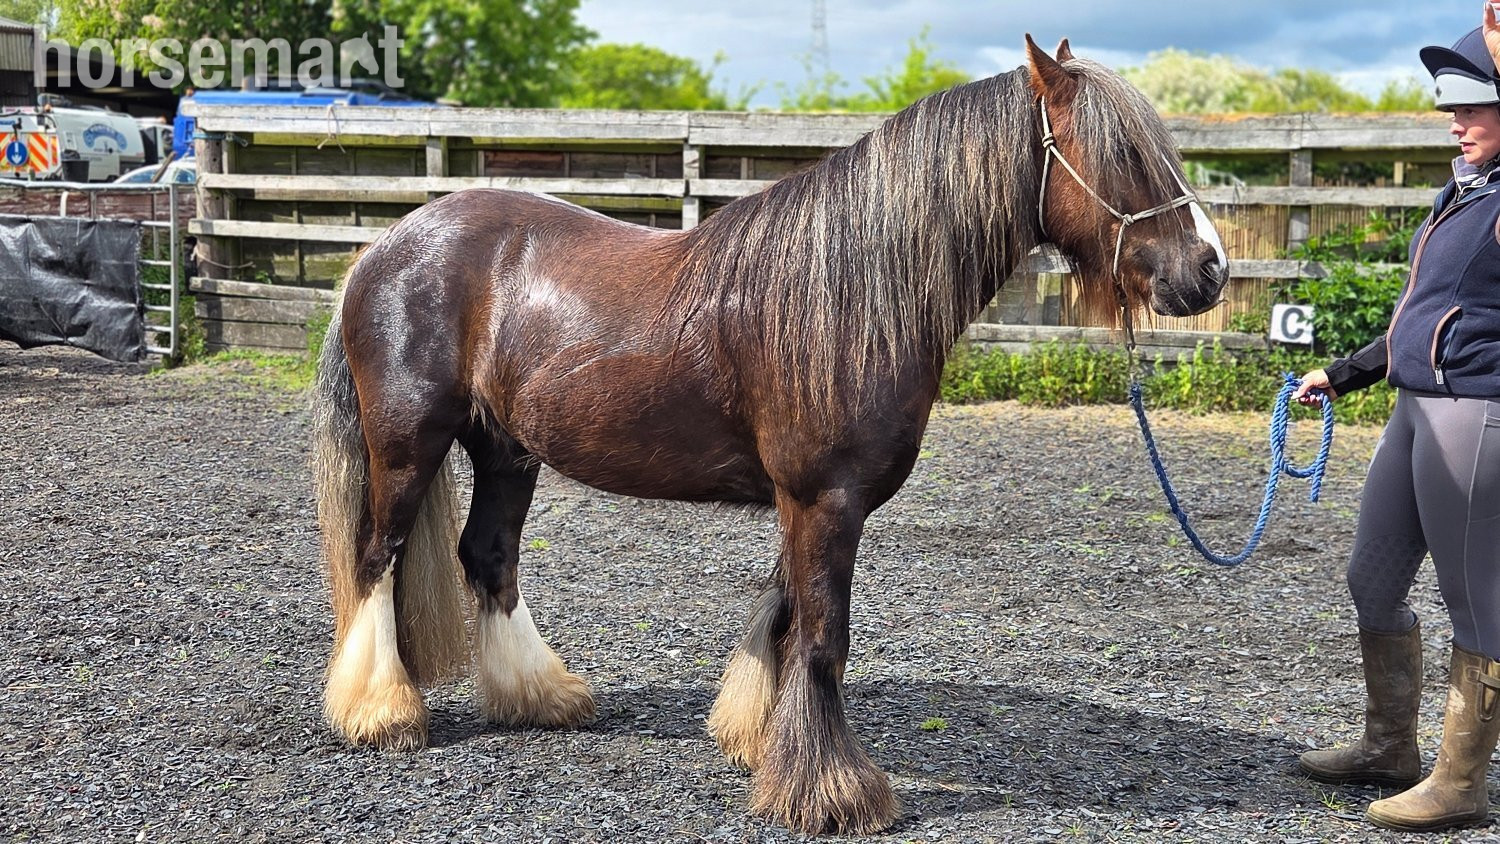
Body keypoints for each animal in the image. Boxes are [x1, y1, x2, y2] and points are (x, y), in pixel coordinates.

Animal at [309, 36, 1229, 835]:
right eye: (1125, 155)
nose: (1209, 270)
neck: (851, 294)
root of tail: (381, 249)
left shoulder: (812, 501)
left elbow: (784, 617)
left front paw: (760, 741)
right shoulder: (825, 498)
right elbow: (822, 637)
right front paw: (831, 792)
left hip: (507, 450)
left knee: (488, 556)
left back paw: (542, 697)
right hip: (409, 446)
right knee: (377, 557)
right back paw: (382, 713)